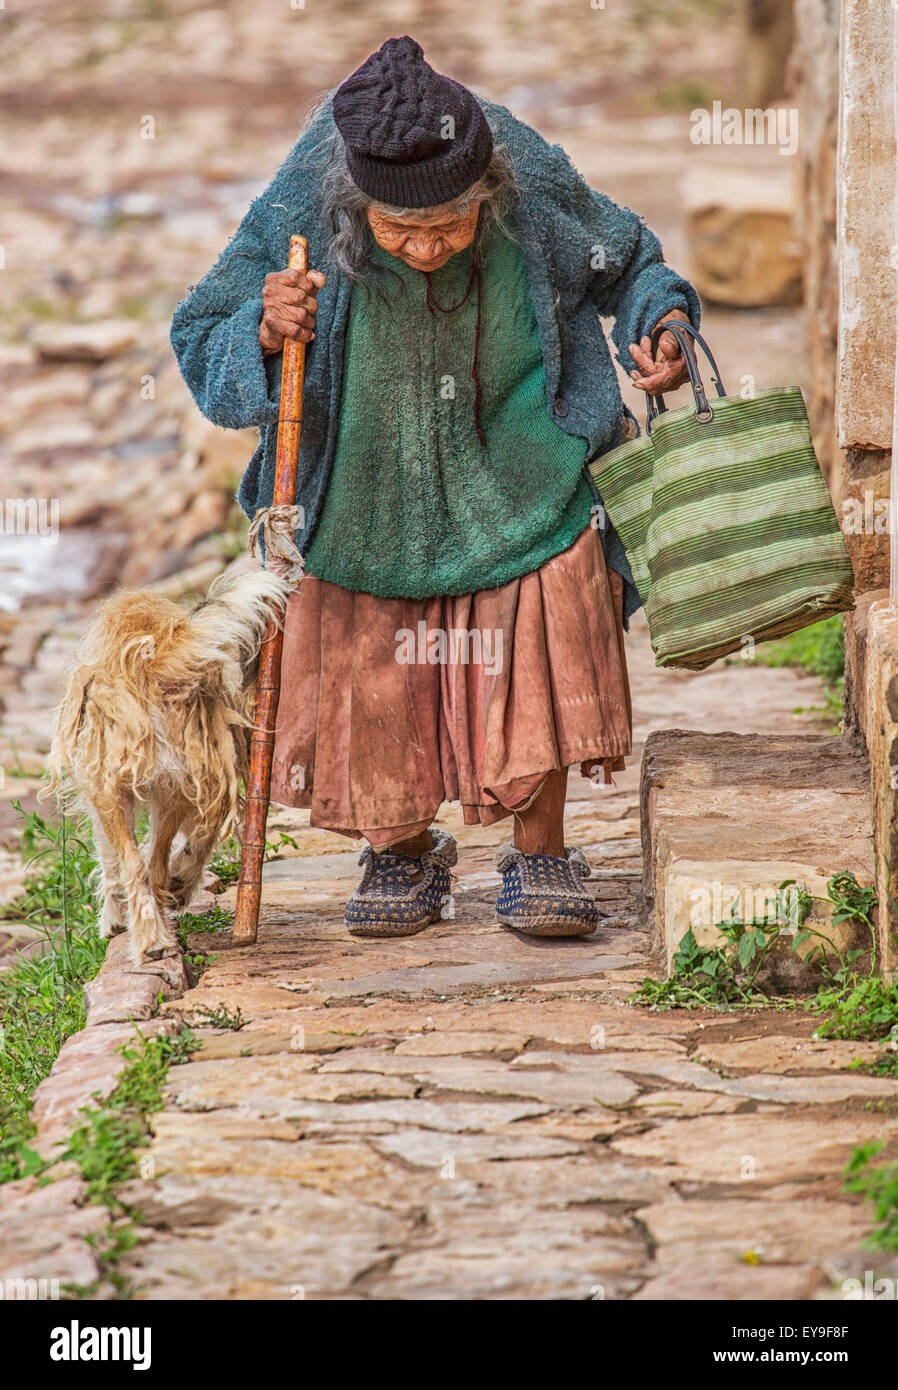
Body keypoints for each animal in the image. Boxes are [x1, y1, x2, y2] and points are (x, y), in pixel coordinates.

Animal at [47, 569, 290, 961]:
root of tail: (152, 661)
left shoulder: (101, 790)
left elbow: (110, 859)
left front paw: (114, 917)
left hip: (129, 791)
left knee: (136, 864)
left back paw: (151, 939)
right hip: (182, 784)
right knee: (155, 864)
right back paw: (163, 920)